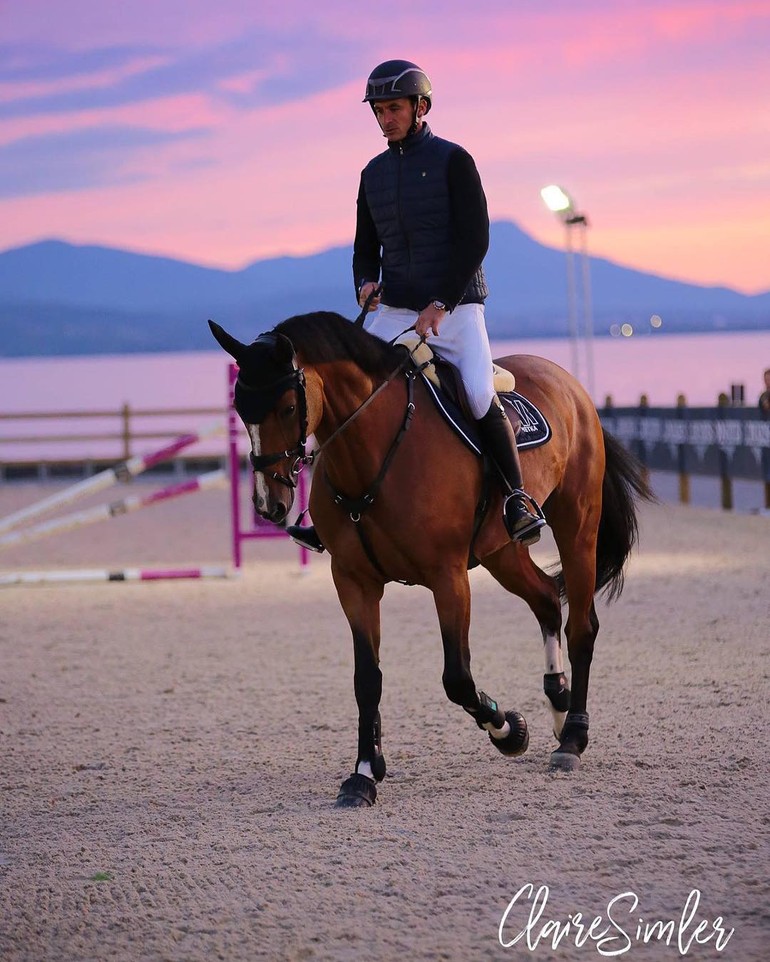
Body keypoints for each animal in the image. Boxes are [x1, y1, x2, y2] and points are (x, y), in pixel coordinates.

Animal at [208, 314, 648, 804]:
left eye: (287, 408)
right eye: (239, 409)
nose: (269, 505)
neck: (373, 454)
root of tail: (567, 382)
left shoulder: (448, 577)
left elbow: (457, 678)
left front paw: (509, 730)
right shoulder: (354, 582)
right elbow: (367, 679)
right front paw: (364, 773)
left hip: (577, 528)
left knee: (581, 628)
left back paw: (571, 737)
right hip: (500, 551)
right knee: (547, 600)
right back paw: (557, 702)